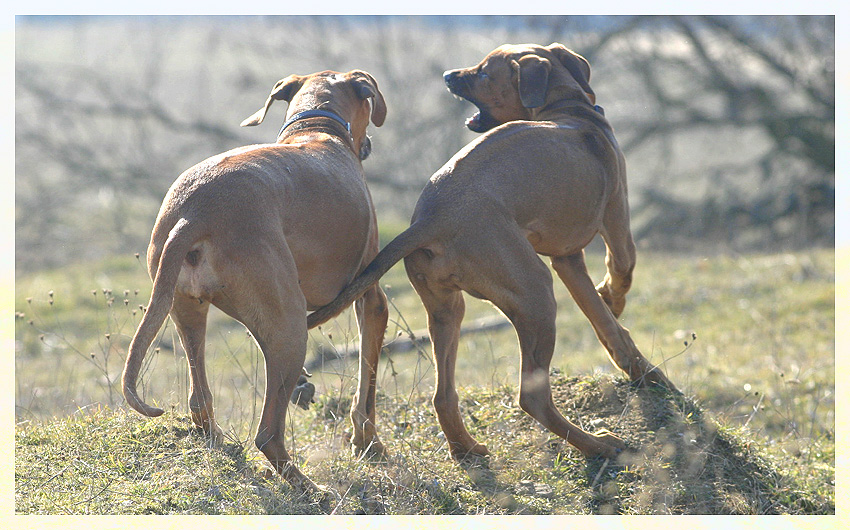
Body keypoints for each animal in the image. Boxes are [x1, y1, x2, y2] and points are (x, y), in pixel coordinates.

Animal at [121, 69, 390, 490]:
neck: (318, 126)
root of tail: (194, 213)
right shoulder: (371, 296)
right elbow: (367, 389)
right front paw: (369, 445)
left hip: (185, 309)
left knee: (200, 400)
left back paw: (221, 444)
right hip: (288, 326)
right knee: (267, 433)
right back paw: (309, 487)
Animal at [308, 43, 672, 460]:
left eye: (483, 73)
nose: (448, 76)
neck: (568, 110)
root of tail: (432, 218)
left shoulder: (567, 260)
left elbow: (607, 326)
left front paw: (645, 371)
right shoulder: (615, 215)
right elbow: (623, 266)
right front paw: (612, 297)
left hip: (447, 309)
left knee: (442, 396)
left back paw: (466, 449)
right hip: (535, 292)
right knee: (532, 398)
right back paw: (600, 446)